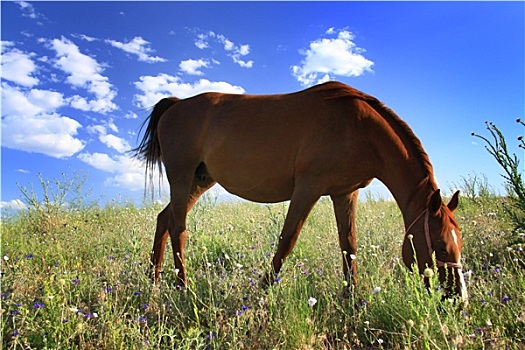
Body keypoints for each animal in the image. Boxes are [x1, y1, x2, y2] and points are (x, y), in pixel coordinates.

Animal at [134, 80, 466, 300]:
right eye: (440, 246)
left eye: (459, 243)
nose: (458, 299)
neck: (359, 127)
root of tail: (176, 104)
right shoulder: (308, 188)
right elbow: (287, 240)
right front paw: (261, 291)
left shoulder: (345, 193)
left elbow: (349, 244)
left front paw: (352, 298)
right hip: (182, 178)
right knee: (178, 228)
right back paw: (183, 286)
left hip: (199, 181)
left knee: (164, 220)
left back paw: (153, 281)